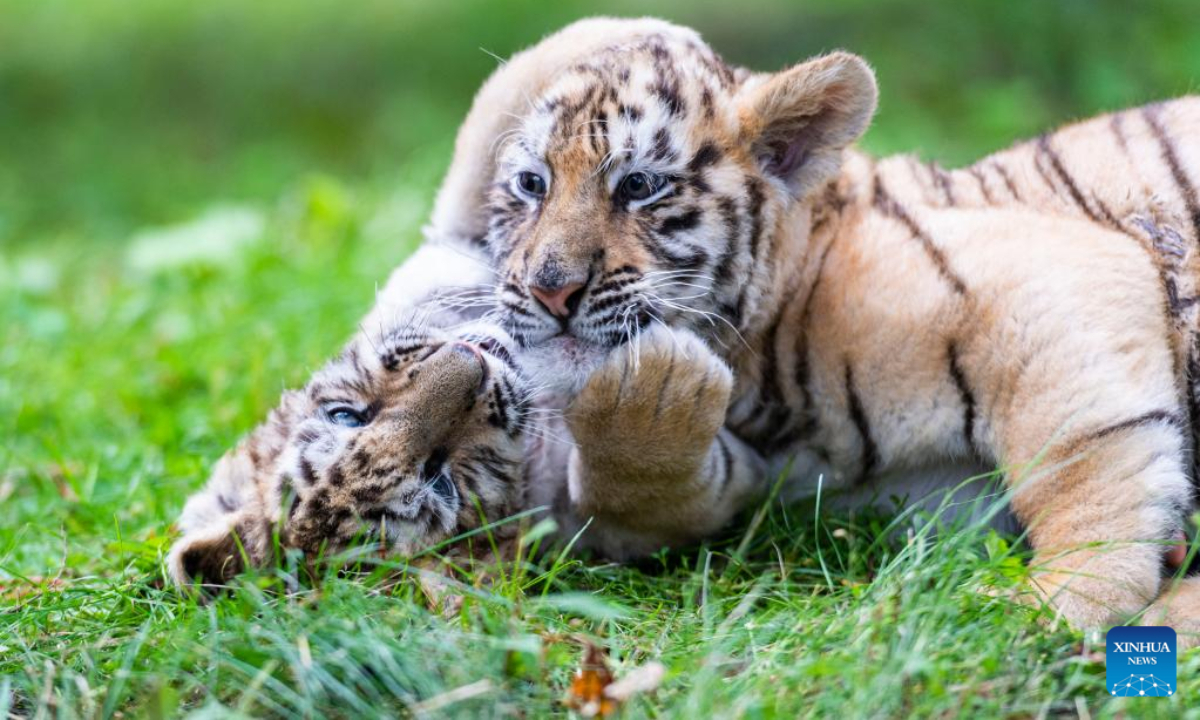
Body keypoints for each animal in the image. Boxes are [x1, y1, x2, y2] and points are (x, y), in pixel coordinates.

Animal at [407, 16, 1200, 643]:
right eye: (531, 185)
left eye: (638, 185)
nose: (551, 287)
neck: (766, 374)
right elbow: (637, 501)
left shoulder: (1050, 273)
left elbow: (1077, 457)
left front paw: (1050, 605)